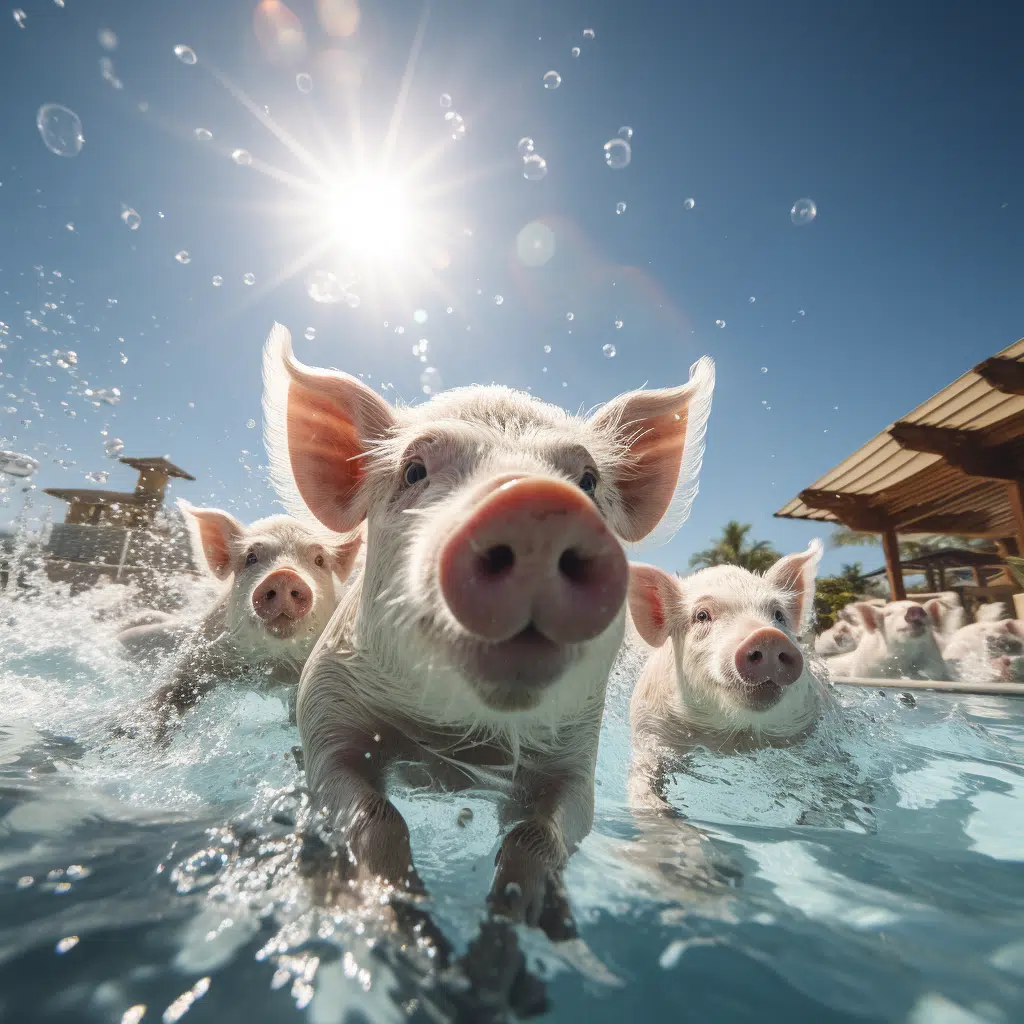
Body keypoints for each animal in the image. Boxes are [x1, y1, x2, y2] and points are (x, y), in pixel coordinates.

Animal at [116, 499, 362, 733]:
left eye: (319, 560)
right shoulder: (204, 652)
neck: (274, 665)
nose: (284, 575)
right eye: (251, 558)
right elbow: (173, 691)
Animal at [260, 323, 716, 933]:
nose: (535, 503)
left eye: (588, 480)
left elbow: (539, 834)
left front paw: (514, 930)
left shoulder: (577, 751)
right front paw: (408, 920)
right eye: (414, 470)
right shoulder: (326, 708)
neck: (462, 740)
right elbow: (371, 812)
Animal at [622, 540, 831, 811]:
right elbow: (644, 779)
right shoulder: (649, 729)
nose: (767, 637)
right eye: (701, 615)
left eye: (778, 615)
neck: (733, 738)